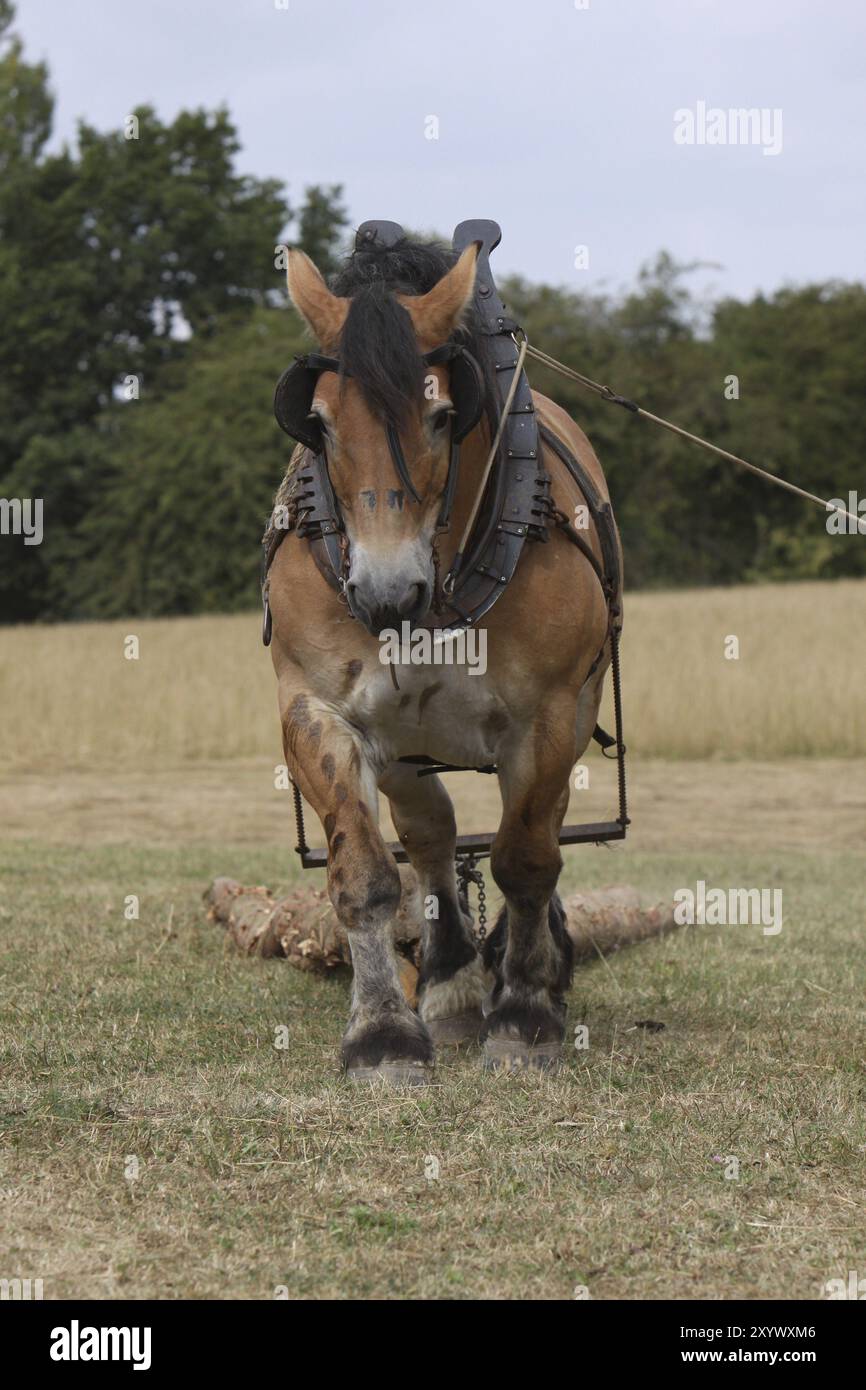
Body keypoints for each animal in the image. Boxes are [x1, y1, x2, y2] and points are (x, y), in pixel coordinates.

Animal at [265, 231, 622, 1082]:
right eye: (318, 422)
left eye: (442, 414)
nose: (385, 594)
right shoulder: (318, 709)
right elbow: (365, 870)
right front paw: (383, 1033)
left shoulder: (548, 716)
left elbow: (525, 857)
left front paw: (524, 1014)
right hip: (404, 744)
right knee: (430, 834)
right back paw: (453, 981)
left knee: (537, 830)